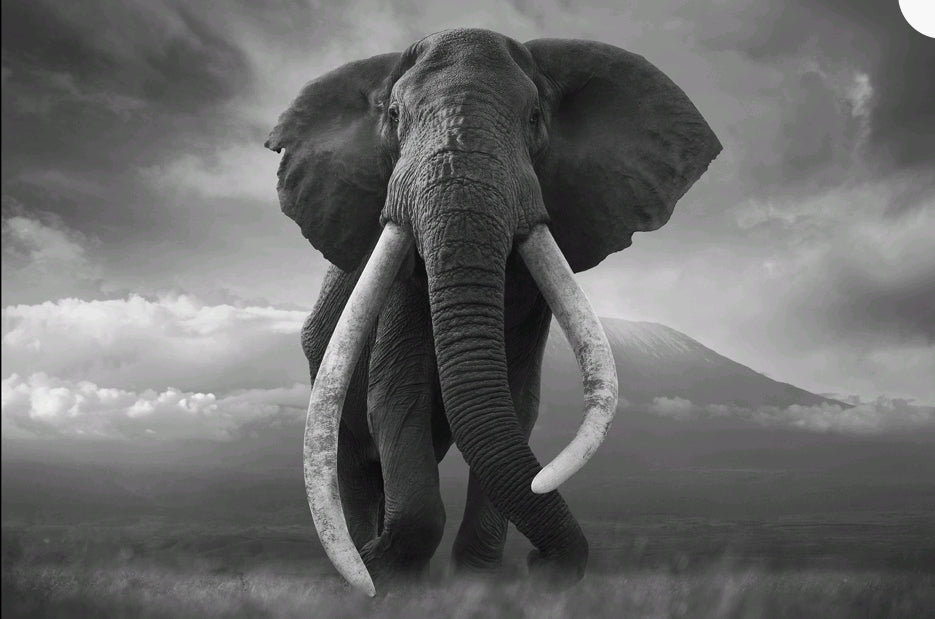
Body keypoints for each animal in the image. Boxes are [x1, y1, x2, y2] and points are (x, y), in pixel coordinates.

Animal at [265, 28, 720, 596]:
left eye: (534, 117)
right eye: (393, 114)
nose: (541, 564)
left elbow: (517, 402)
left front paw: (476, 587)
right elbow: (395, 395)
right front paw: (385, 574)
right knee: (353, 460)